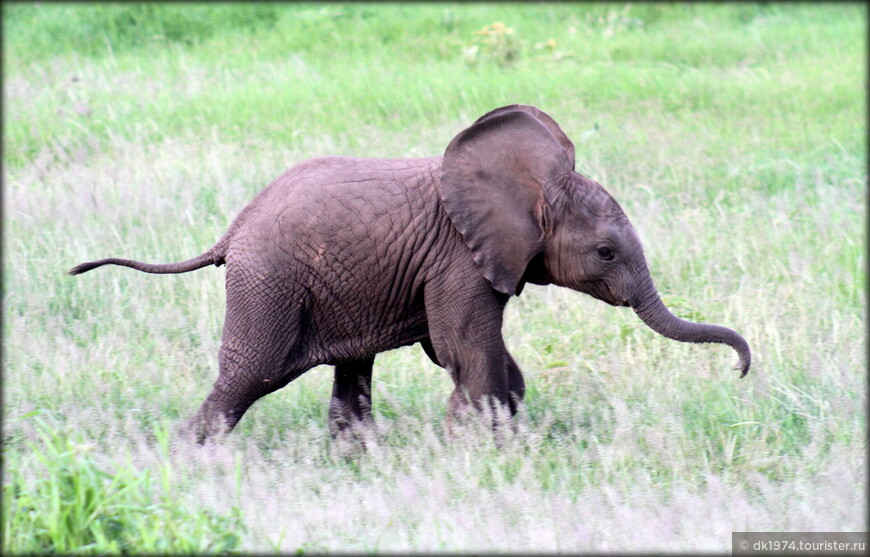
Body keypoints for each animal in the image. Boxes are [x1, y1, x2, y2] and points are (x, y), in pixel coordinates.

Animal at [70, 105, 748, 444]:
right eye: (606, 253)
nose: (741, 371)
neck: (530, 186)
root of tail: (233, 230)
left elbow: (475, 353)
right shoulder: (460, 260)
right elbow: (461, 348)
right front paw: (474, 450)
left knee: (348, 373)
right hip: (270, 279)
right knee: (250, 374)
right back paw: (185, 458)